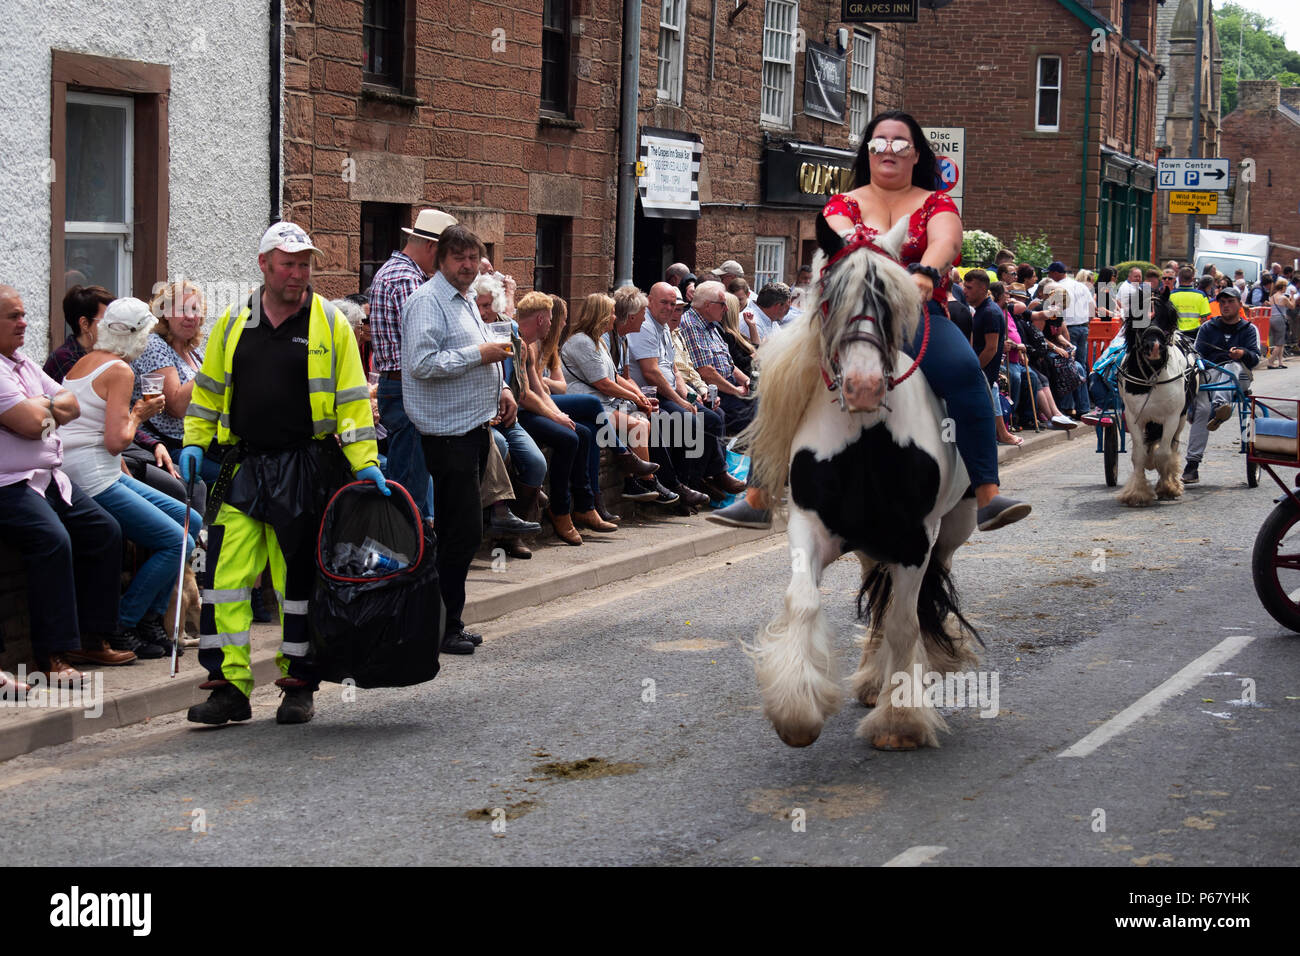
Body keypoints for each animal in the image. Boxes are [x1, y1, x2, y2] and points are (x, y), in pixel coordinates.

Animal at [743, 218, 977, 754]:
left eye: (892, 302)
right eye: (830, 298)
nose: (864, 386)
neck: (869, 436)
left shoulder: (915, 539)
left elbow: (905, 624)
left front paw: (901, 721)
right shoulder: (809, 526)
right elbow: (804, 600)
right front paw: (796, 713)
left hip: (950, 530)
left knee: (918, 598)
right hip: (873, 543)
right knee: (881, 595)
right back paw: (872, 679)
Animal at [1118, 286, 1196, 504]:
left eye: (1166, 317)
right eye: (1139, 317)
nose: (1153, 347)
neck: (1152, 375)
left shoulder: (1171, 417)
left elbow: (1163, 453)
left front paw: (1167, 487)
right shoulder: (1134, 418)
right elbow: (1139, 455)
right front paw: (1137, 493)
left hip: (1181, 419)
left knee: (1172, 447)